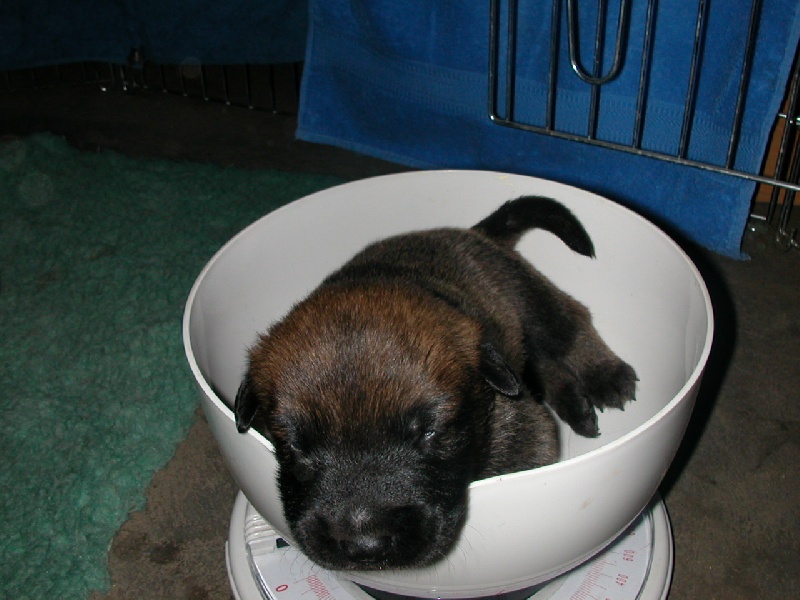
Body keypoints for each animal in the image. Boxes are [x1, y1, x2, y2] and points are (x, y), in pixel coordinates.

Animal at [234, 196, 637, 571]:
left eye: (430, 433)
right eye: (294, 446)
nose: (366, 547)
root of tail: (471, 232)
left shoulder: (525, 434)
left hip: (524, 294)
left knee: (569, 323)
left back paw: (605, 375)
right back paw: (576, 405)